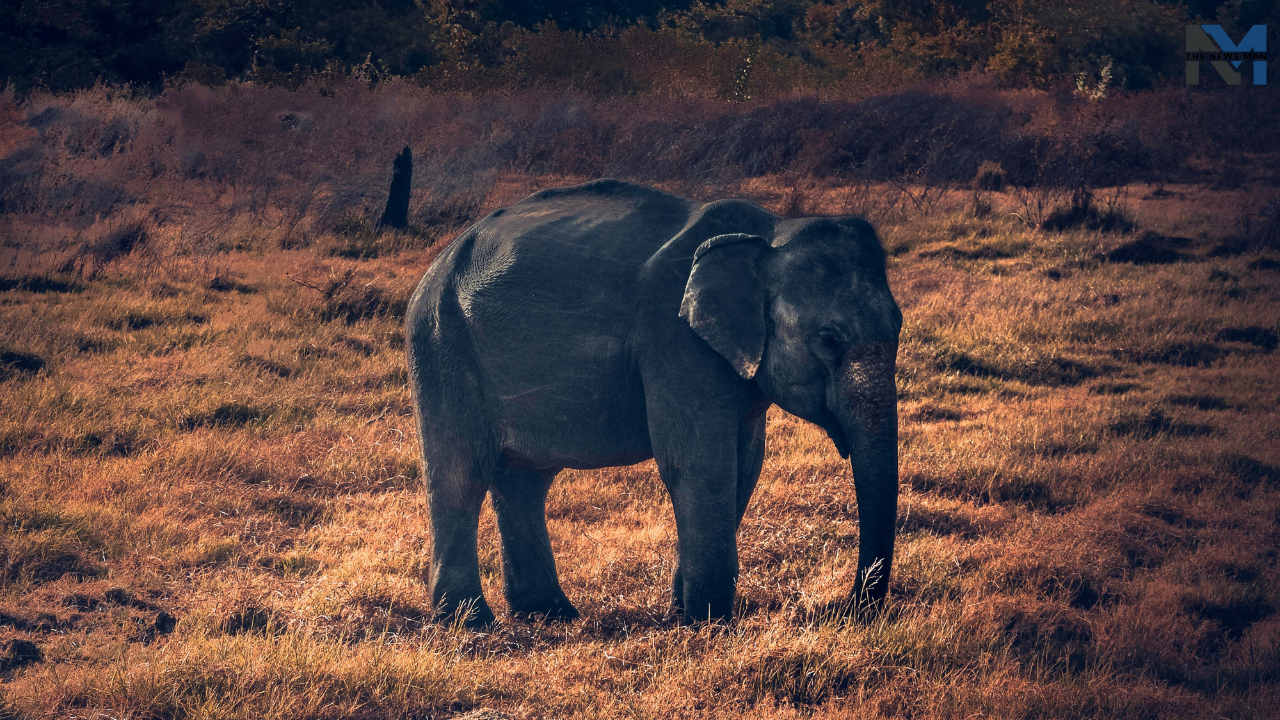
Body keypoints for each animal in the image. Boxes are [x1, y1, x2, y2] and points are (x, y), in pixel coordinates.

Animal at [406, 179, 901, 625]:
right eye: (829, 341)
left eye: (898, 327)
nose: (846, 608)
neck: (770, 232)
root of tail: (438, 264)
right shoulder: (674, 341)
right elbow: (698, 463)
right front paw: (707, 621)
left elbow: (745, 464)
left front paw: (685, 611)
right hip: (441, 343)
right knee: (460, 473)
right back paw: (470, 621)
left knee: (524, 479)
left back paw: (549, 613)